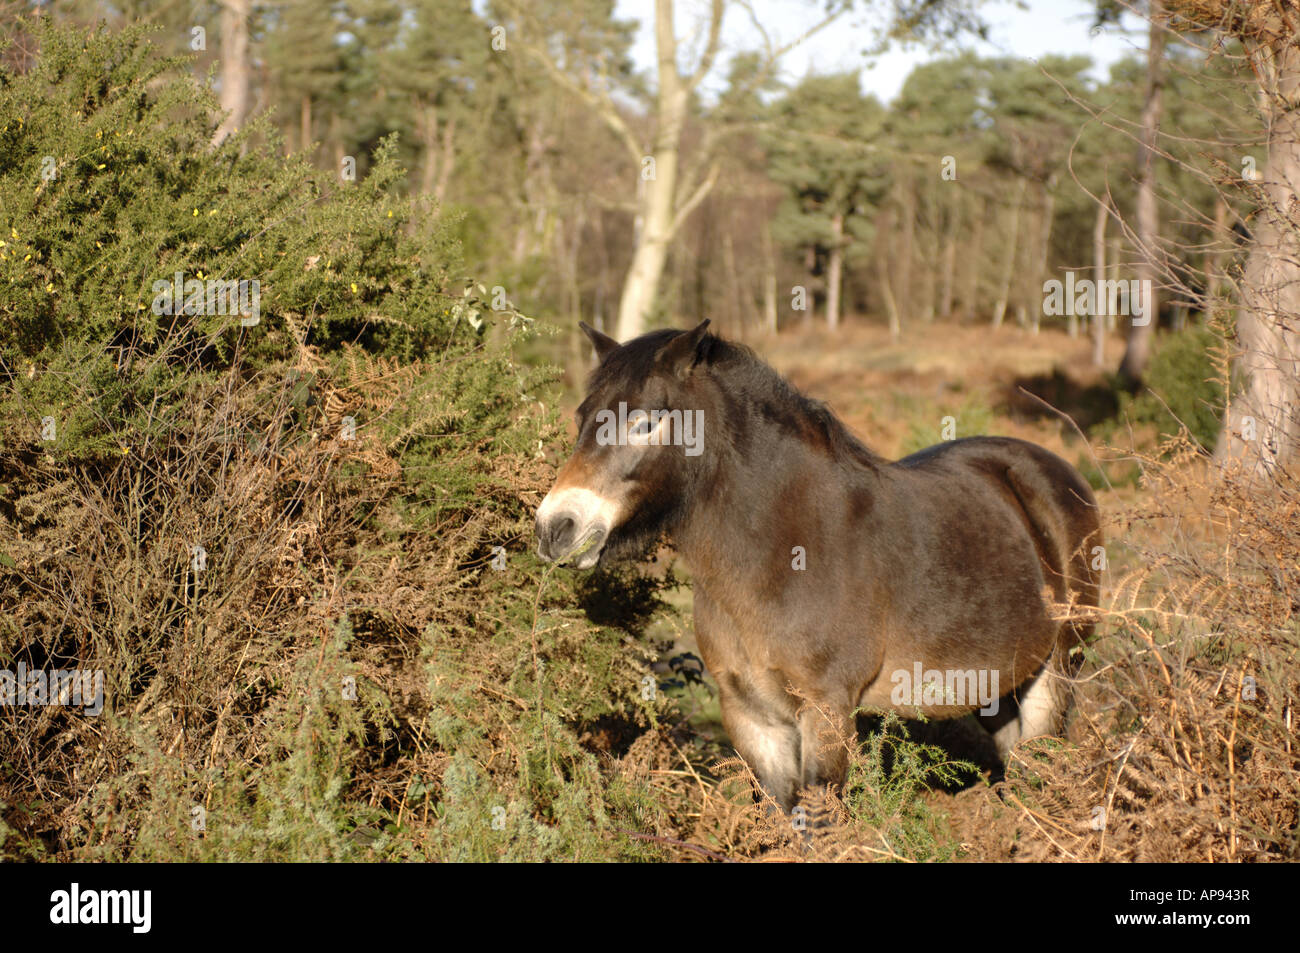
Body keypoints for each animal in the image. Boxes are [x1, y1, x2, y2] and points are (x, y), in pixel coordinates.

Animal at [533, 321, 1102, 811]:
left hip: (1057, 671)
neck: (781, 553)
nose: (555, 527)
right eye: (581, 418)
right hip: (999, 682)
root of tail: (1053, 471)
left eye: (647, 421)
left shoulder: (826, 711)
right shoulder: (751, 717)